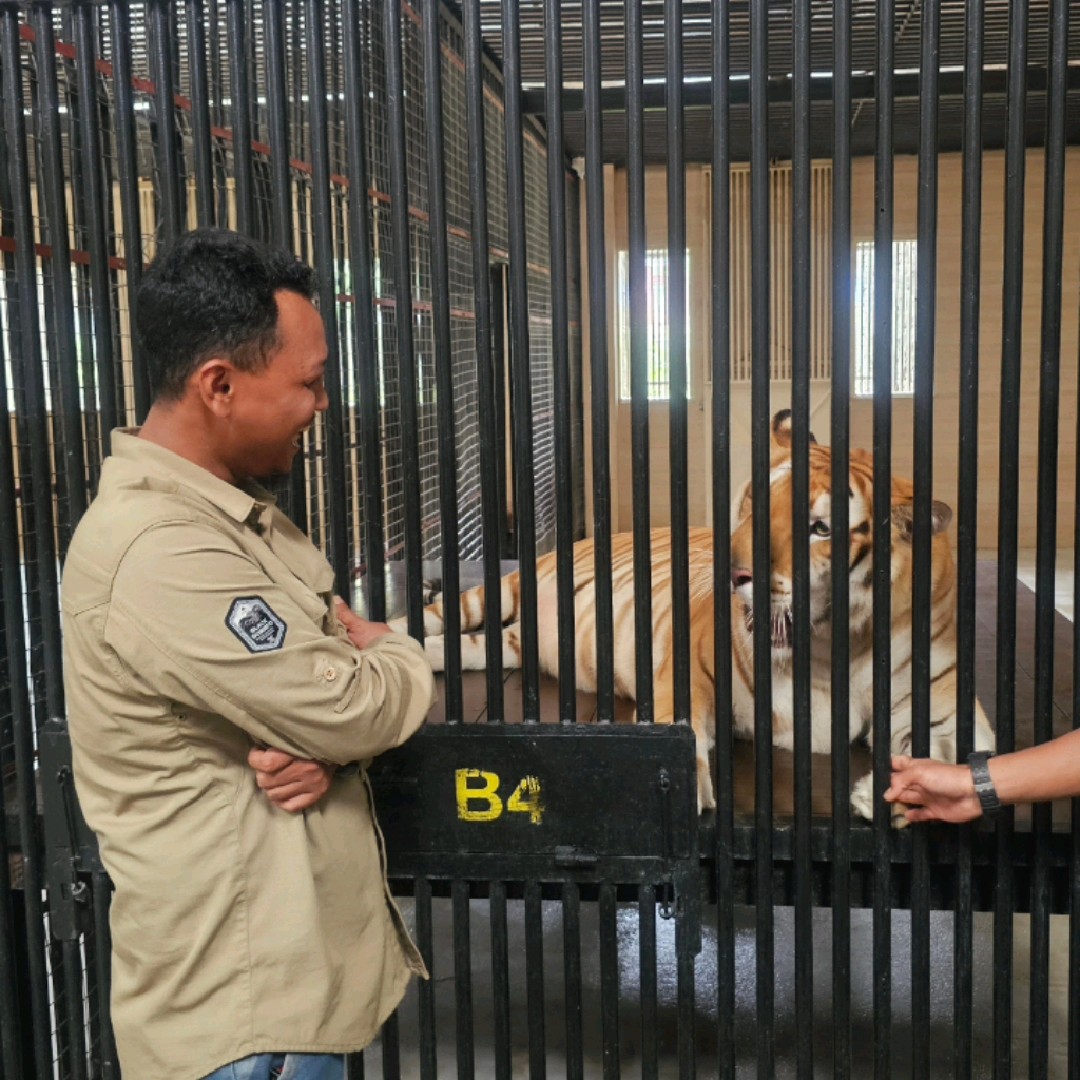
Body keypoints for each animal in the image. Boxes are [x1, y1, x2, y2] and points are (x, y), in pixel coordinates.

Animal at [391, 409, 995, 819]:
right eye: (754, 501)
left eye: (820, 529)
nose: (734, 573)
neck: (832, 645)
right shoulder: (693, 669)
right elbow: (683, 731)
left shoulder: (944, 708)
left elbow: (964, 754)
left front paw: (901, 792)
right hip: (501, 593)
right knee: (431, 619)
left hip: (513, 641)